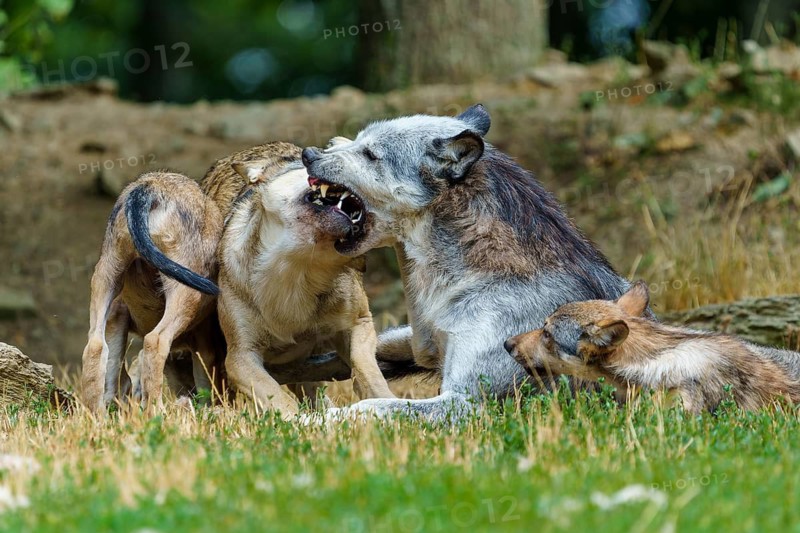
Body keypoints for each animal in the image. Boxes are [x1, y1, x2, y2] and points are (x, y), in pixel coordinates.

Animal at [300, 104, 640, 420]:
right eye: (356, 140)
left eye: (370, 154)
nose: (308, 153)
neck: (485, 275)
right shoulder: (418, 346)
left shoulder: (467, 403)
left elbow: (369, 406)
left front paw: (306, 422)